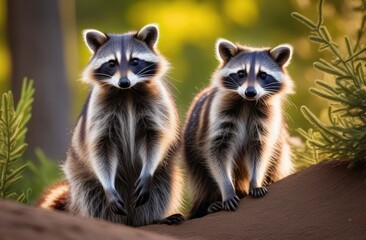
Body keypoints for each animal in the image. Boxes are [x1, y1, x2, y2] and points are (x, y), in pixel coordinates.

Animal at [38, 24, 184, 227]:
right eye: (112, 63)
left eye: (134, 61)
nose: (124, 82)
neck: (127, 93)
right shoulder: (98, 113)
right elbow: (100, 148)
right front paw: (108, 185)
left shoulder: (157, 104)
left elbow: (156, 138)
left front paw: (148, 170)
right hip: (83, 182)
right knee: (91, 197)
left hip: (166, 174)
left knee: (161, 190)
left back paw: (152, 219)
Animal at [183, 38, 294, 218]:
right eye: (241, 73)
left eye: (263, 75)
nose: (251, 92)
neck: (247, 103)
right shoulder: (217, 116)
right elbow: (217, 152)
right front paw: (227, 189)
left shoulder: (265, 121)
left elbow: (260, 150)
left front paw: (255, 182)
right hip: (193, 159)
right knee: (201, 177)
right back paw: (211, 203)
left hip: (280, 153)